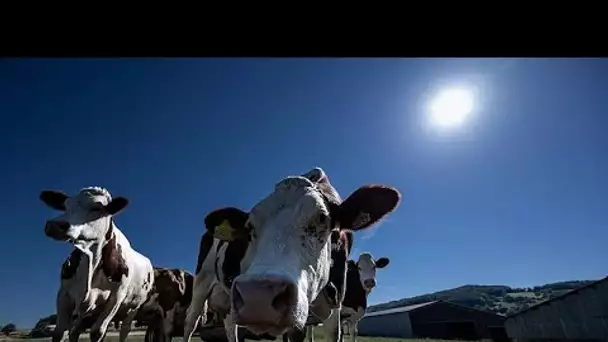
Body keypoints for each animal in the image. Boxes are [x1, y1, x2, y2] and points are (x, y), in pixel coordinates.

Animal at [39, 186, 154, 342]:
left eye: (97, 208)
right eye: (66, 206)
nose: (55, 225)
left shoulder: (116, 297)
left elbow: (97, 332)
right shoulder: (64, 294)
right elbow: (59, 333)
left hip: (133, 308)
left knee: (124, 330)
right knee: (75, 332)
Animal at [180, 167, 400, 342]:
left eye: (323, 218)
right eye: (250, 227)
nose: (258, 296)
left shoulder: (335, 306)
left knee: (230, 327)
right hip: (202, 282)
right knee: (191, 322)